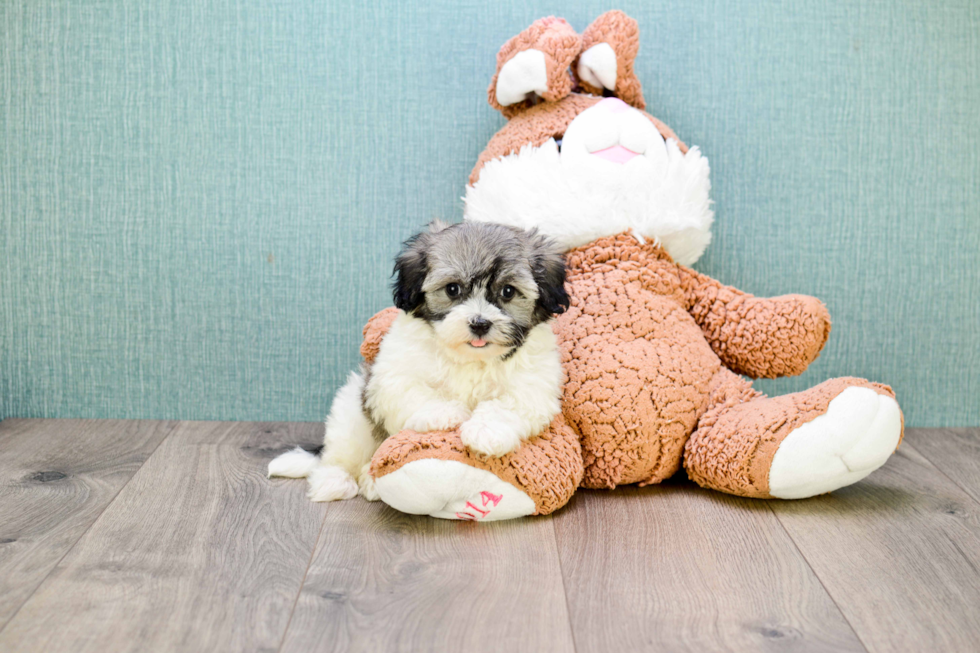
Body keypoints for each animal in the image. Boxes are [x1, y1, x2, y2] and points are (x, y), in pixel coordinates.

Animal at [272, 222, 572, 502]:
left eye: (508, 292)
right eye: (452, 289)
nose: (479, 323)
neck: (470, 358)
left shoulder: (534, 386)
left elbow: (508, 404)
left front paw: (485, 432)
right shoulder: (391, 377)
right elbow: (415, 391)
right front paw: (446, 412)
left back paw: (371, 481)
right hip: (351, 412)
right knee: (339, 454)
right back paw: (335, 481)